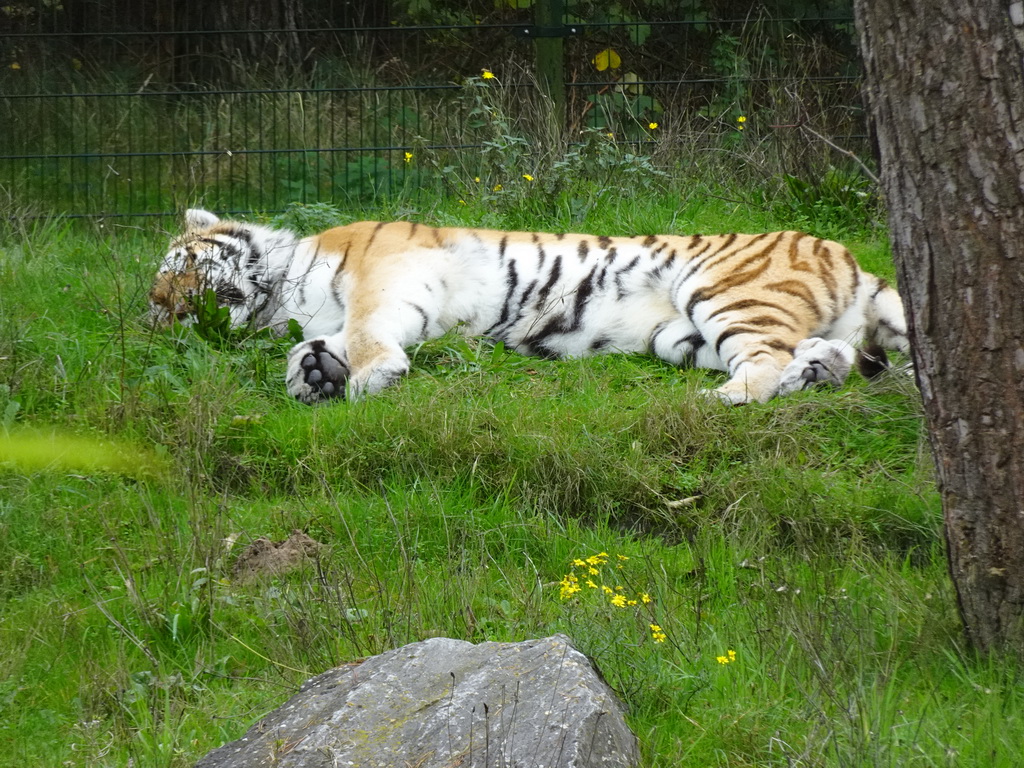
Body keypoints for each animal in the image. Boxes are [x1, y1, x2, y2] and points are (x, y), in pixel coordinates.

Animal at [148, 207, 909, 405]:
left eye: (176, 271)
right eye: (161, 308)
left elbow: (366, 330)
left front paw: (365, 377)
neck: (282, 293)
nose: (167, 313)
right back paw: (813, 374)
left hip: (720, 289)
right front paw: (312, 372)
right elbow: (323, 341)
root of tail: (853, 261)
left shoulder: (386, 273)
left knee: (763, 360)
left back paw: (723, 400)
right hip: (680, 333)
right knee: (824, 351)